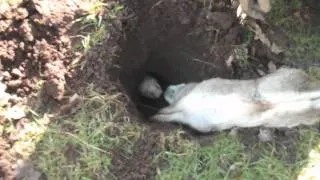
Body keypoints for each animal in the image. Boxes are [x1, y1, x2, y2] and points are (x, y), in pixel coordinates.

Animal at [151, 67, 320, 132]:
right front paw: (155, 118)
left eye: (179, 87)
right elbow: (169, 116)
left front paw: (153, 115)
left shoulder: (183, 101)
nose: (166, 90)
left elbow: (168, 109)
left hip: (277, 90)